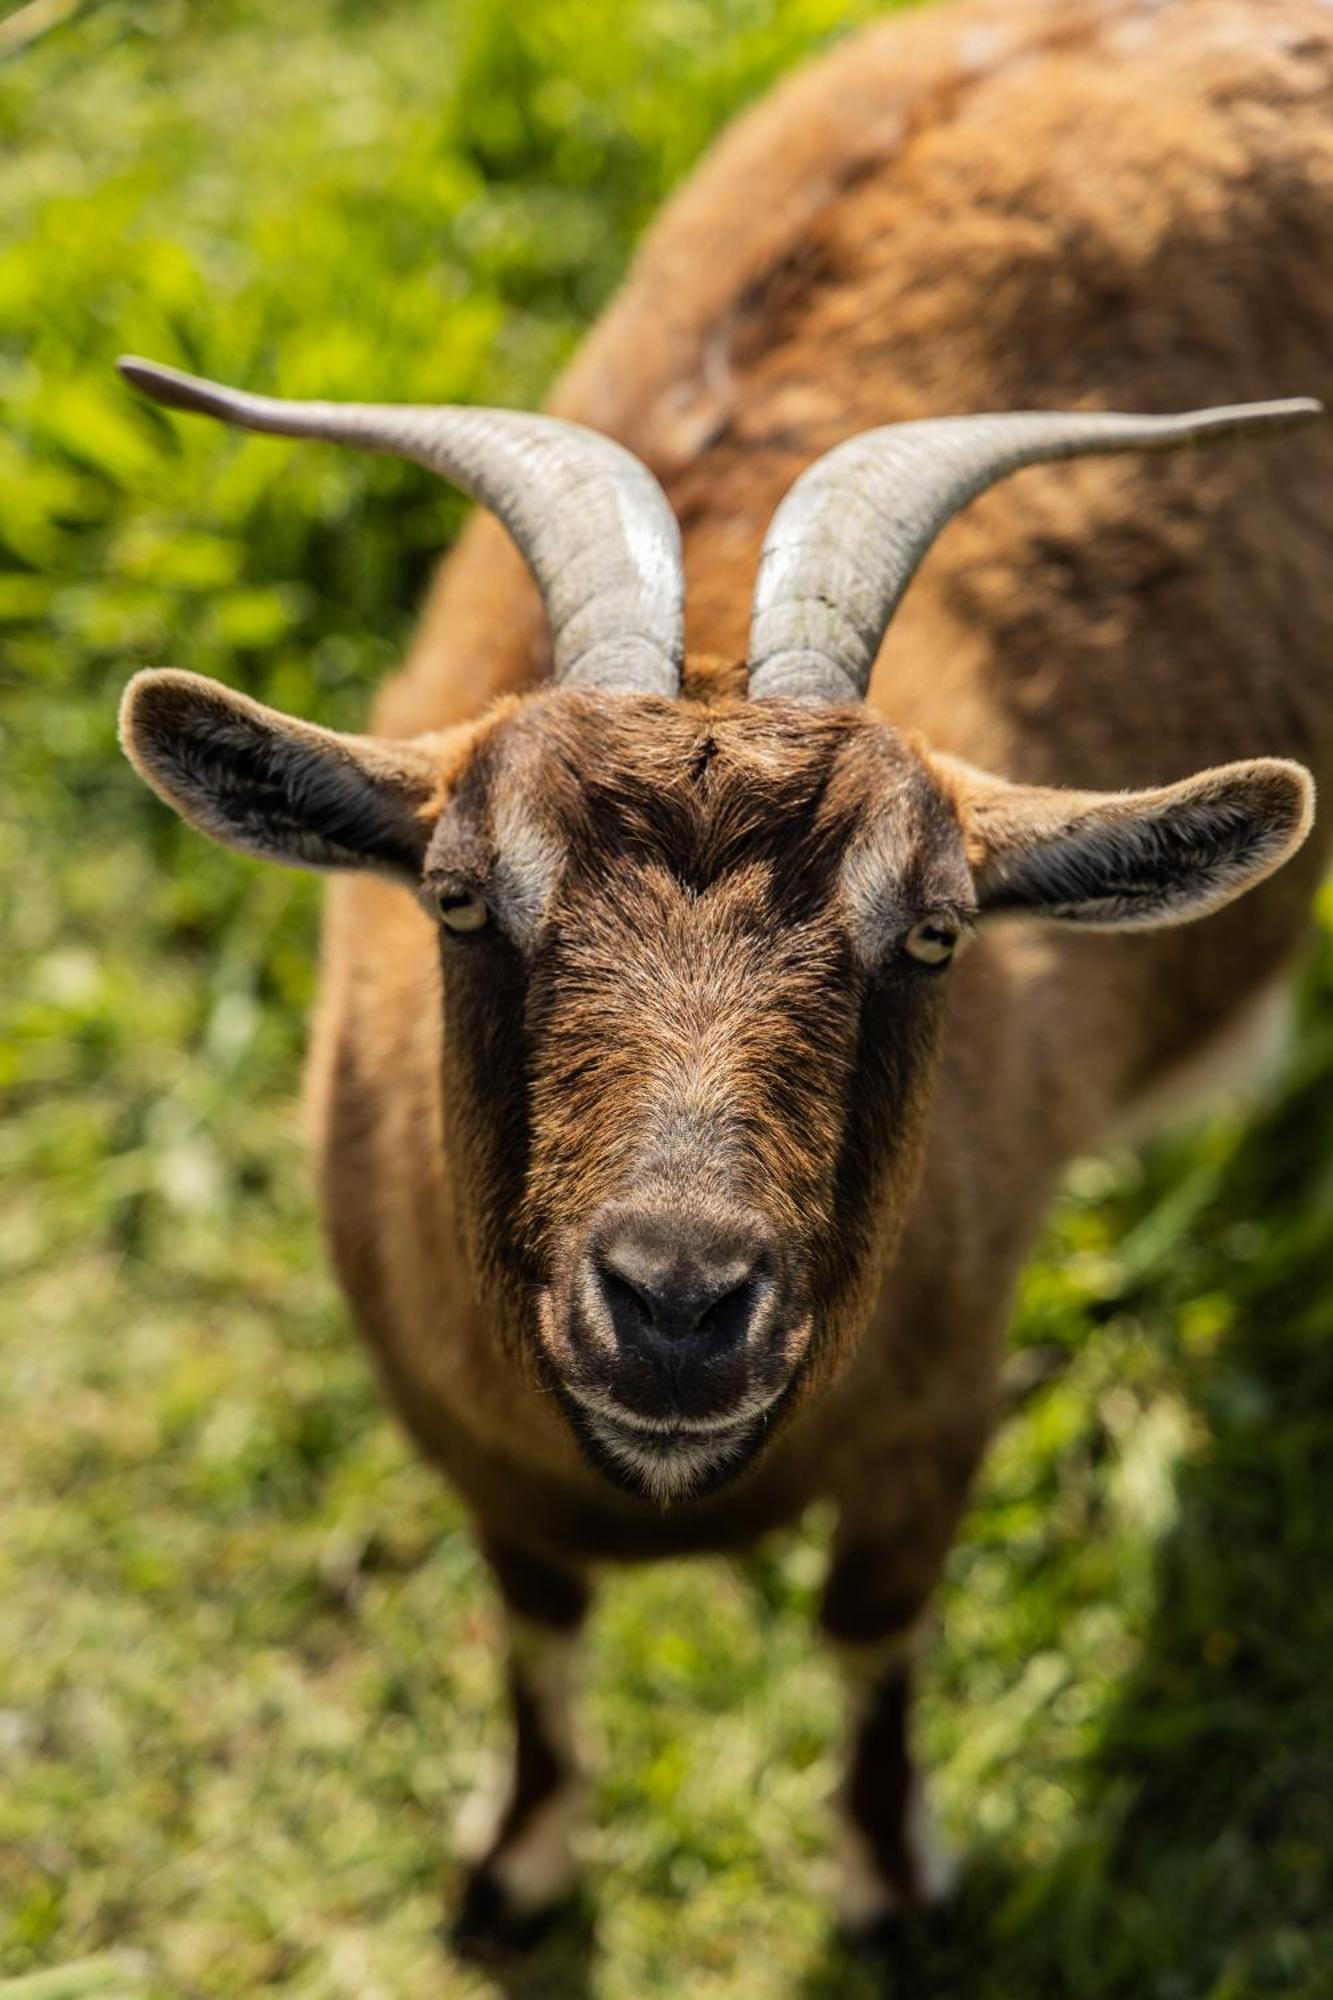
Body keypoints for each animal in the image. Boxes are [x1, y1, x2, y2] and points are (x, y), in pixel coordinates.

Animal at [114, 0, 1328, 1952]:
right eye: (458, 895)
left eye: (933, 927)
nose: (677, 1303)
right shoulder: (465, 1439)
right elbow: (534, 1630)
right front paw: (515, 1869)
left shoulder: (940, 1411)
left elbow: (870, 1637)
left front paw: (889, 1888)